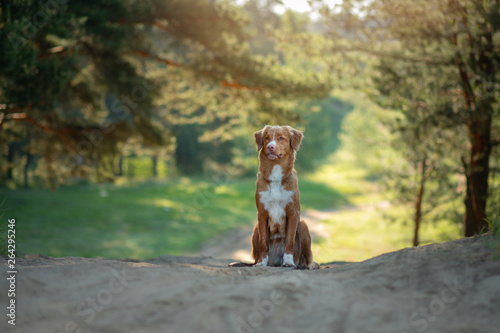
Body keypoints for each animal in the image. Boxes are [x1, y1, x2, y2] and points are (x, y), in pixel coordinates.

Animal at [229, 125, 318, 270]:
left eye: (281, 138)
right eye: (267, 138)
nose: (270, 146)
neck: (275, 176)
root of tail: (275, 262)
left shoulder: (293, 212)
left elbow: (290, 241)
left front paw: (288, 262)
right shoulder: (262, 213)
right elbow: (264, 242)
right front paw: (261, 263)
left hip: (303, 225)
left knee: (307, 259)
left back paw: (302, 265)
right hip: (255, 229)